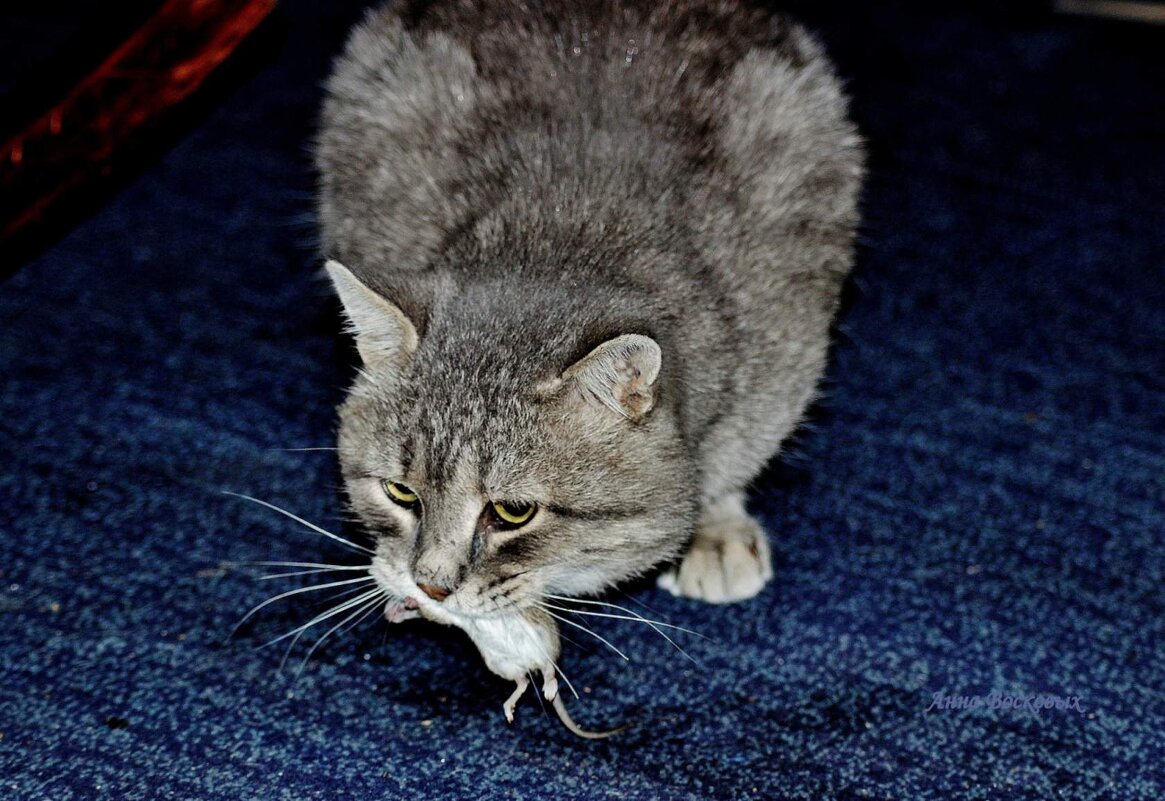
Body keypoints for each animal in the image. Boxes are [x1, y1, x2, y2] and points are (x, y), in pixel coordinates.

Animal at [314, 0, 862, 693]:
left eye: (513, 512)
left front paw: (715, 523)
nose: (431, 587)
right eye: (400, 494)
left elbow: (732, 461)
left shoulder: (782, 363)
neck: (559, 233)